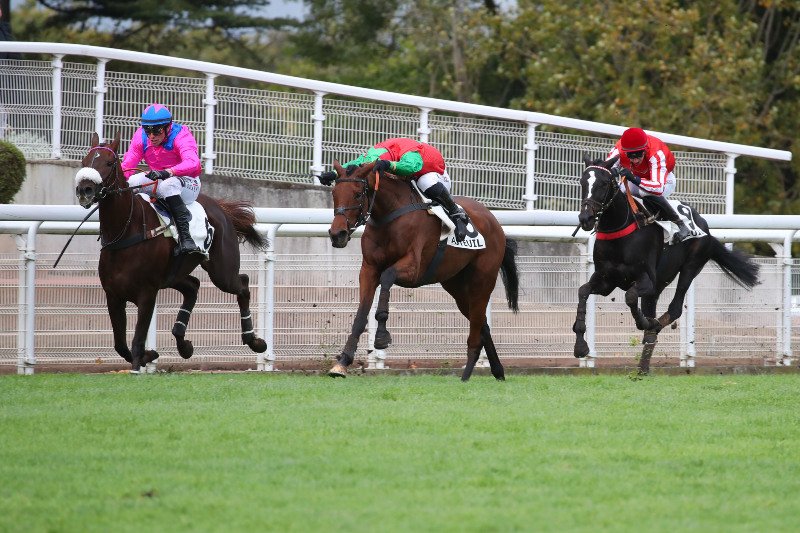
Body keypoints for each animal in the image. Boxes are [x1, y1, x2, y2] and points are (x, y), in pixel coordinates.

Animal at [74, 132, 268, 372]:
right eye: (84, 161)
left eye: (109, 163)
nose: (85, 190)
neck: (128, 230)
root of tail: (222, 208)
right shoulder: (113, 295)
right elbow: (120, 344)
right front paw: (148, 355)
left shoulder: (147, 293)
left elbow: (137, 339)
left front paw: (138, 365)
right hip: (174, 274)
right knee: (193, 286)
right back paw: (184, 344)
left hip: (222, 270)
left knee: (242, 284)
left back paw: (255, 341)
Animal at [324, 160, 520, 381]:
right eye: (334, 193)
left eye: (357, 194)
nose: (337, 234)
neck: (390, 215)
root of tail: (495, 222)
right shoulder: (368, 269)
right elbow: (361, 315)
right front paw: (342, 363)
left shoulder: (414, 269)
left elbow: (387, 276)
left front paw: (381, 336)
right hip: (457, 287)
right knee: (482, 324)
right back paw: (498, 371)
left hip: (482, 281)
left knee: (477, 327)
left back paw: (466, 376)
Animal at [573, 154, 760, 374]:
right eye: (582, 182)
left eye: (603, 183)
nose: (585, 218)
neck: (620, 231)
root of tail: (705, 226)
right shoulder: (605, 280)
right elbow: (583, 291)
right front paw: (580, 346)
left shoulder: (646, 280)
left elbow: (630, 297)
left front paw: (644, 322)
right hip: (660, 284)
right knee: (654, 313)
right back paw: (643, 366)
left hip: (690, 266)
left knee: (675, 308)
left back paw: (651, 328)